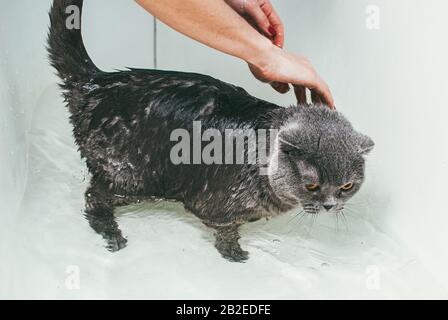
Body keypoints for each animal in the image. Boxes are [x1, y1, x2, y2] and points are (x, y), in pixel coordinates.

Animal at [48, 0, 374, 262]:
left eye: (347, 186)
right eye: (312, 186)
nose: (330, 205)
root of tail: (96, 82)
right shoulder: (215, 206)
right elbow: (225, 229)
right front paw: (234, 252)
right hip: (133, 177)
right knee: (95, 196)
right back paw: (112, 234)